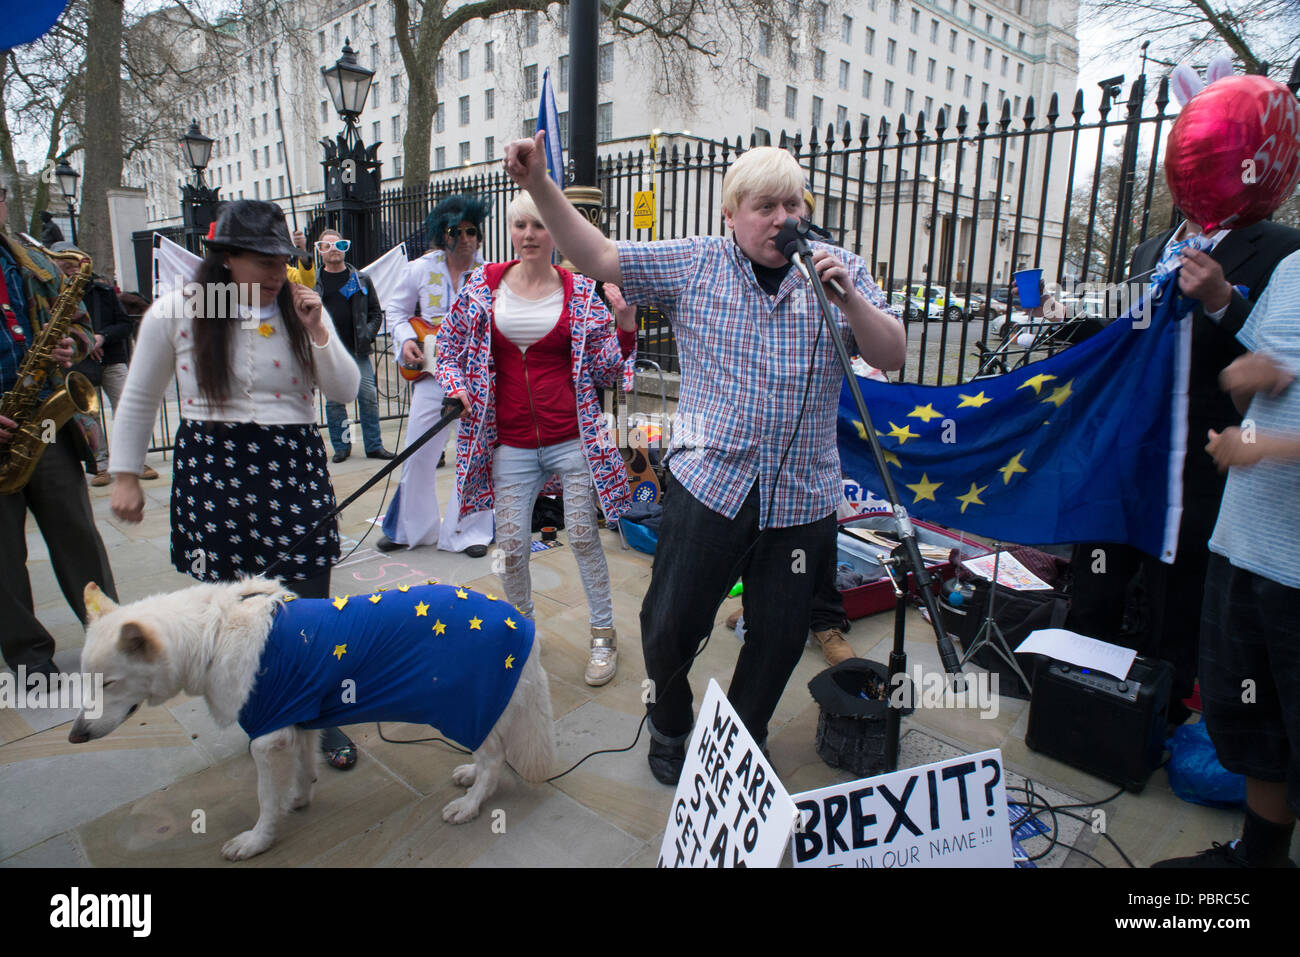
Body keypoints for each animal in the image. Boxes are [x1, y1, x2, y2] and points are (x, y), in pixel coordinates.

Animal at [67, 579, 553, 863]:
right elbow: (303, 766)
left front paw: (258, 839)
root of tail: (520, 622)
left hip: (463, 705)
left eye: (109, 683)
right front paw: (298, 799)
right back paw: (469, 775)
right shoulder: (296, 718)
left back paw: (472, 803)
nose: (74, 736)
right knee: (492, 752)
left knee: (494, 759)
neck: (212, 634)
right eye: (87, 681)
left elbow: (265, 798)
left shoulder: (267, 737)